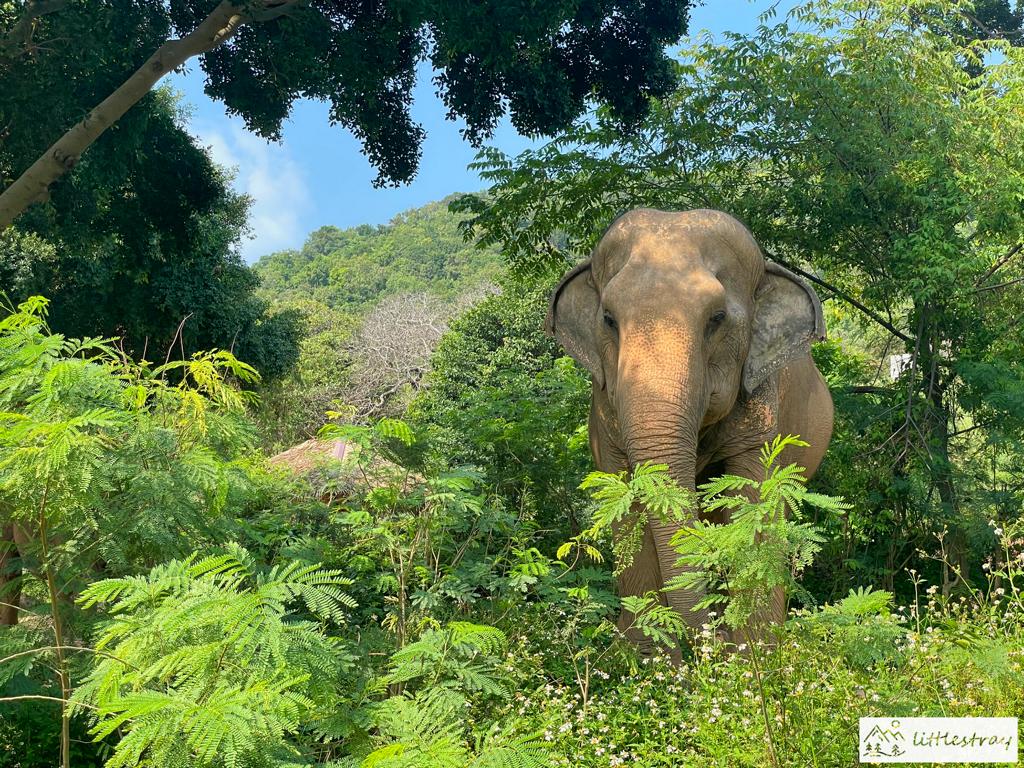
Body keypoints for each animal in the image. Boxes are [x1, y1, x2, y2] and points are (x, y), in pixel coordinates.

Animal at [544, 207, 831, 647]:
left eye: (717, 318)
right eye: (608, 319)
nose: (713, 636)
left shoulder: (763, 405)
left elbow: (754, 506)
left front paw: (756, 654)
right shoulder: (605, 410)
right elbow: (627, 510)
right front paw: (648, 657)